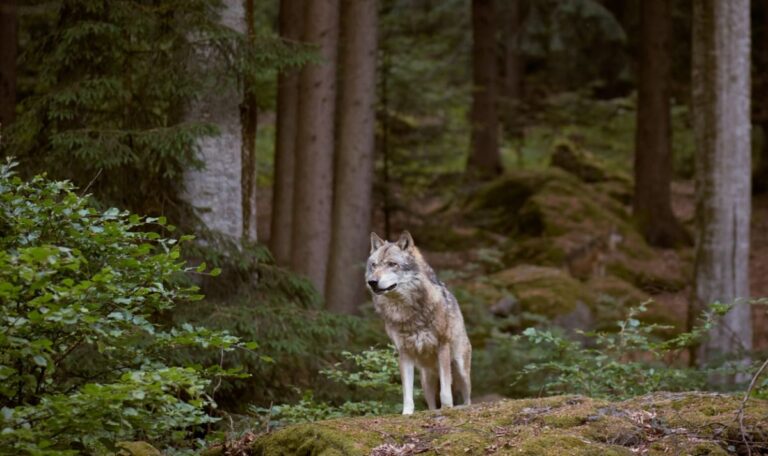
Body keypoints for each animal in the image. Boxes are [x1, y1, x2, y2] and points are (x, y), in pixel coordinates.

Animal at [366, 231, 471, 415]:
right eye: (374, 265)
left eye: (392, 264)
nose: (372, 282)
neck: (407, 311)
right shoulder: (404, 352)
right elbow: (407, 392)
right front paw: (407, 413)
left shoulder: (442, 345)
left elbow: (445, 391)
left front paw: (447, 408)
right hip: (426, 381)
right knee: (430, 404)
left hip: (460, 370)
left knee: (468, 398)